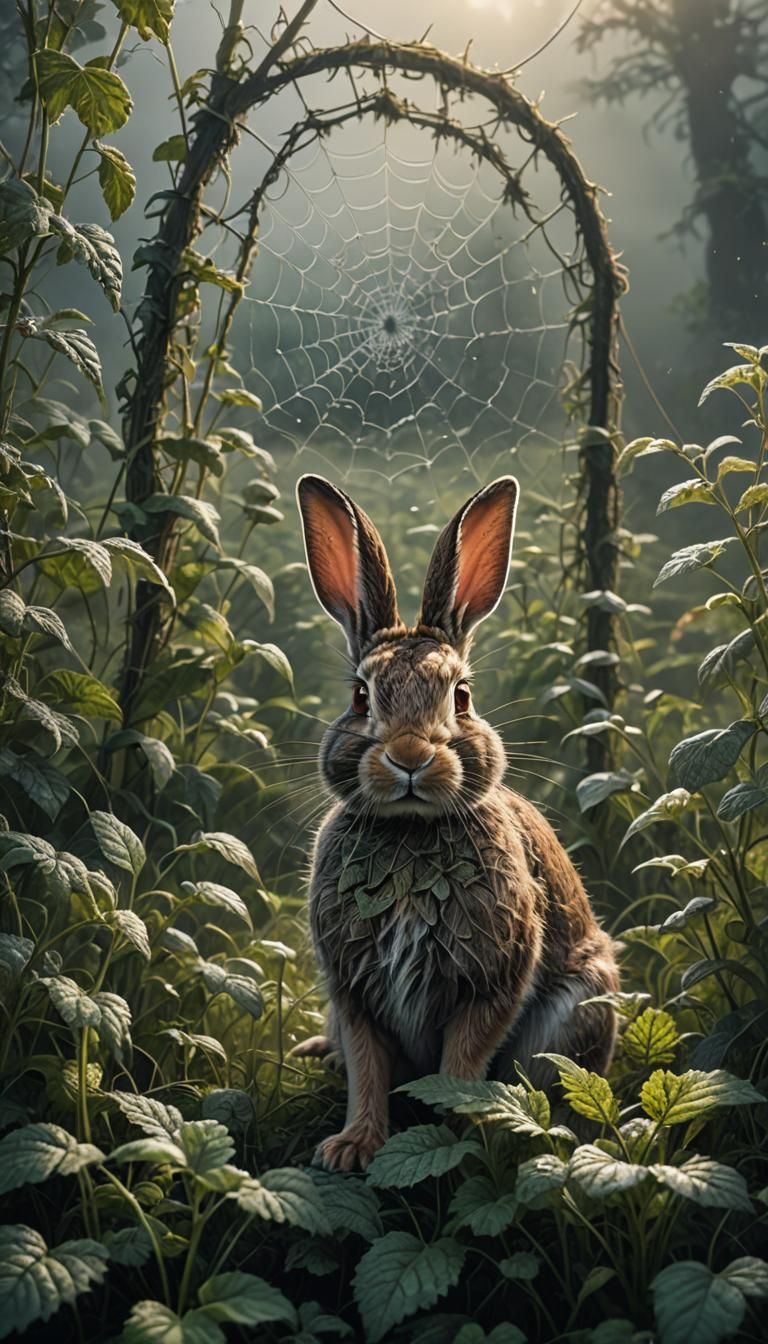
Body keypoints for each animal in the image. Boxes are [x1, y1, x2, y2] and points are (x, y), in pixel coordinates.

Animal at [293, 472, 620, 1171]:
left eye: (462, 697)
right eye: (360, 697)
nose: (410, 757)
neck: (411, 830)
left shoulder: (491, 982)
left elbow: (461, 1064)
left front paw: (459, 1134)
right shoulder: (353, 992)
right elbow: (367, 1068)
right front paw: (351, 1149)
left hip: (577, 1010)